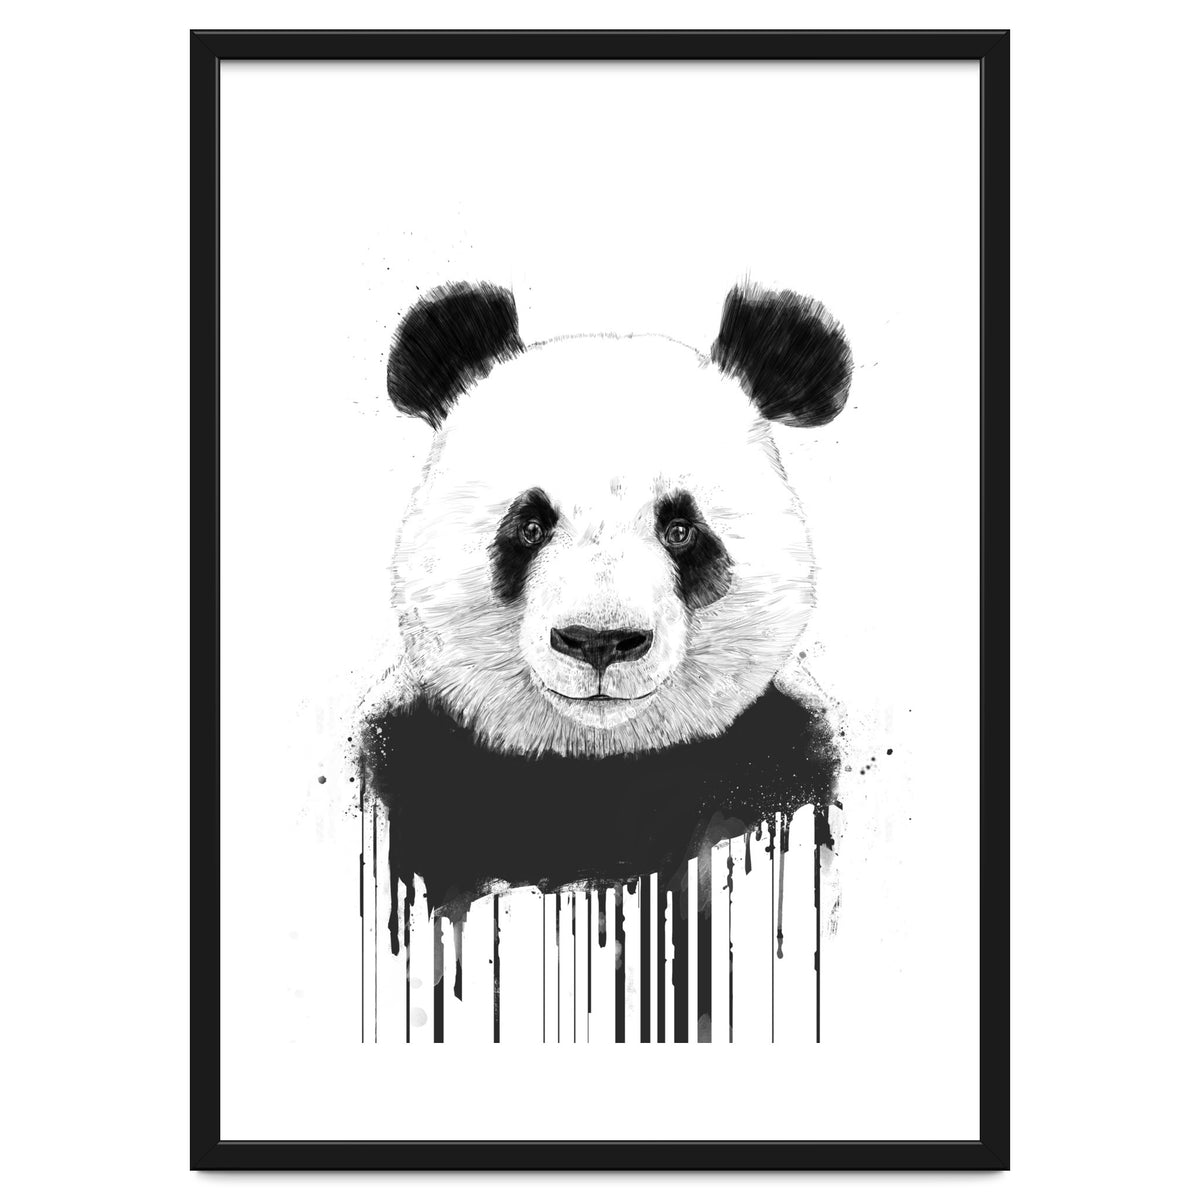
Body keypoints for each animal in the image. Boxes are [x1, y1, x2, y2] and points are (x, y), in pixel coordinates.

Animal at [361, 281, 849, 939]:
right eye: (530, 526)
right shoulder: (414, 755)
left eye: (680, 530)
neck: (597, 763)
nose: (598, 641)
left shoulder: (780, 756)